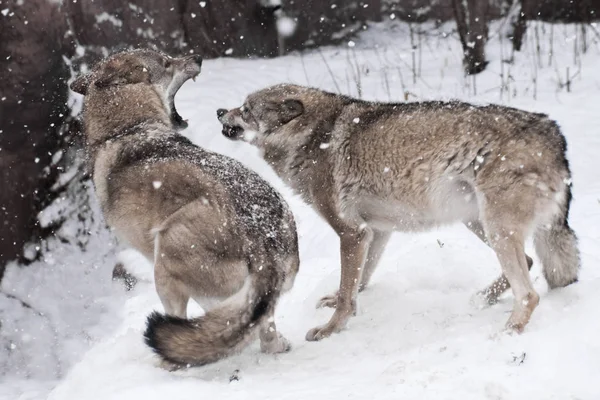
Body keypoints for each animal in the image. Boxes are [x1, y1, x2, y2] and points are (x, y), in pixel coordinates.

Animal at [70, 50, 300, 368]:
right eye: (167, 62)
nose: (198, 57)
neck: (126, 130)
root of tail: (265, 243)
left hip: (164, 256)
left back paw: (164, 362)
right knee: (263, 336)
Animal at [218, 83, 580, 340]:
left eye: (246, 109)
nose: (220, 110)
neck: (311, 137)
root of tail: (555, 135)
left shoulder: (350, 232)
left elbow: (349, 288)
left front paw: (330, 329)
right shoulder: (375, 231)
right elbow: (358, 281)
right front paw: (340, 301)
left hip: (496, 228)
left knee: (529, 294)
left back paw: (506, 332)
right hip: (477, 222)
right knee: (530, 263)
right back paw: (482, 299)